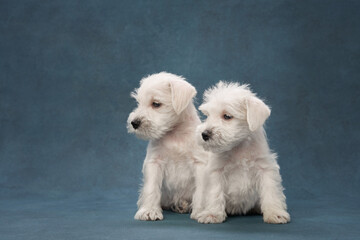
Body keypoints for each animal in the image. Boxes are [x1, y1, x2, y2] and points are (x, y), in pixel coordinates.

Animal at [129, 71, 208, 221]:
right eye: (138, 103)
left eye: (156, 104)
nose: (134, 123)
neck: (174, 134)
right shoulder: (154, 162)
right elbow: (151, 187)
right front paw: (149, 211)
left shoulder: (200, 163)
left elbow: (202, 190)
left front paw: (201, 211)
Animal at [191, 81, 290, 224]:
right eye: (208, 115)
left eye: (227, 116)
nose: (204, 134)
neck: (238, 147)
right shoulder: (216, 171)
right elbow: (215, 192)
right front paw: (212, 214)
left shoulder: (265, 168)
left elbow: (271, 191)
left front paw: (275, 213)